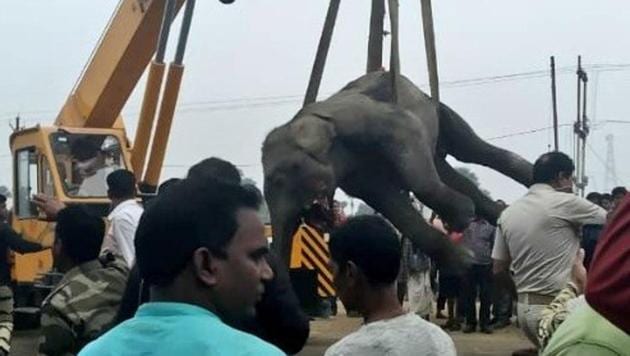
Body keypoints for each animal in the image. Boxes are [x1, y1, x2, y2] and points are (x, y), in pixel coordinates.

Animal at [262, 71, 532, 268]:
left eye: (282, 177)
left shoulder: (368, 119)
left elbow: (408, 140)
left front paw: (461, 217)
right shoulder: (356, 176)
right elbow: (390, 204)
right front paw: (464, 260)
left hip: (435, 108)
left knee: (469, 149)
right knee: (447, 170)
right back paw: (498, 214)